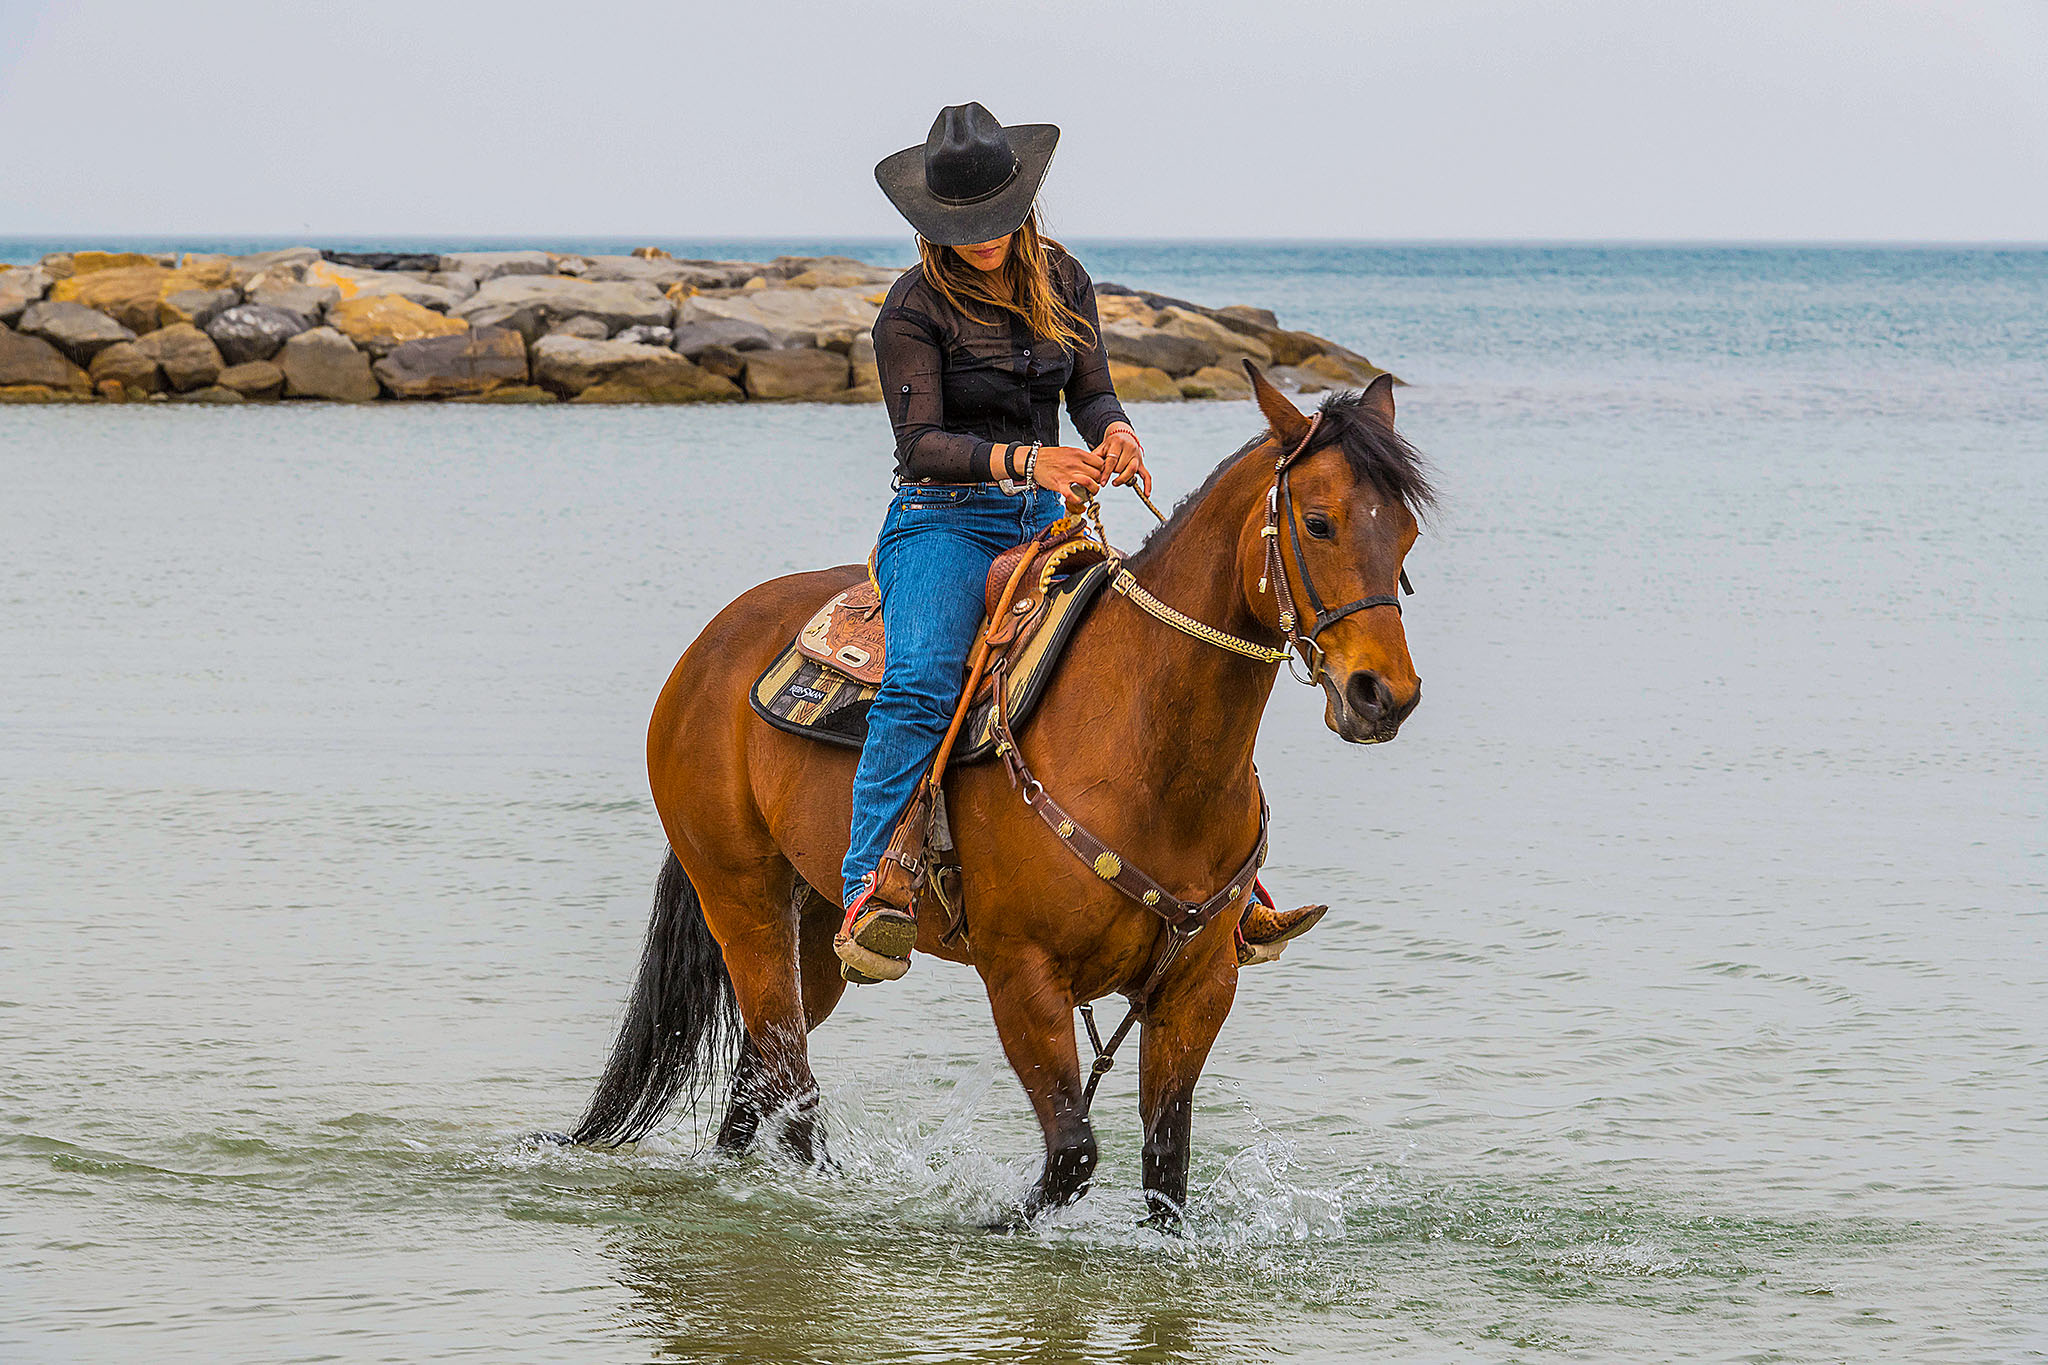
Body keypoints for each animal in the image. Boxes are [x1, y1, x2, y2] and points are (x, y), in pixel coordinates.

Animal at [569, 366, 1433, 1227]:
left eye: (1408, 536)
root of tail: (707, 649)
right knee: (788, 1079)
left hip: (812, 922)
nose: (1384, 695)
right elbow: (1072, 1152)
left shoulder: (1198, 988)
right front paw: (994, 1221)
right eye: (1318, 523)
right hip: (741, 902)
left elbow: (1165, 1169)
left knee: (760, 1079)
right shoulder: (1022, 975)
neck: (1146, 746)